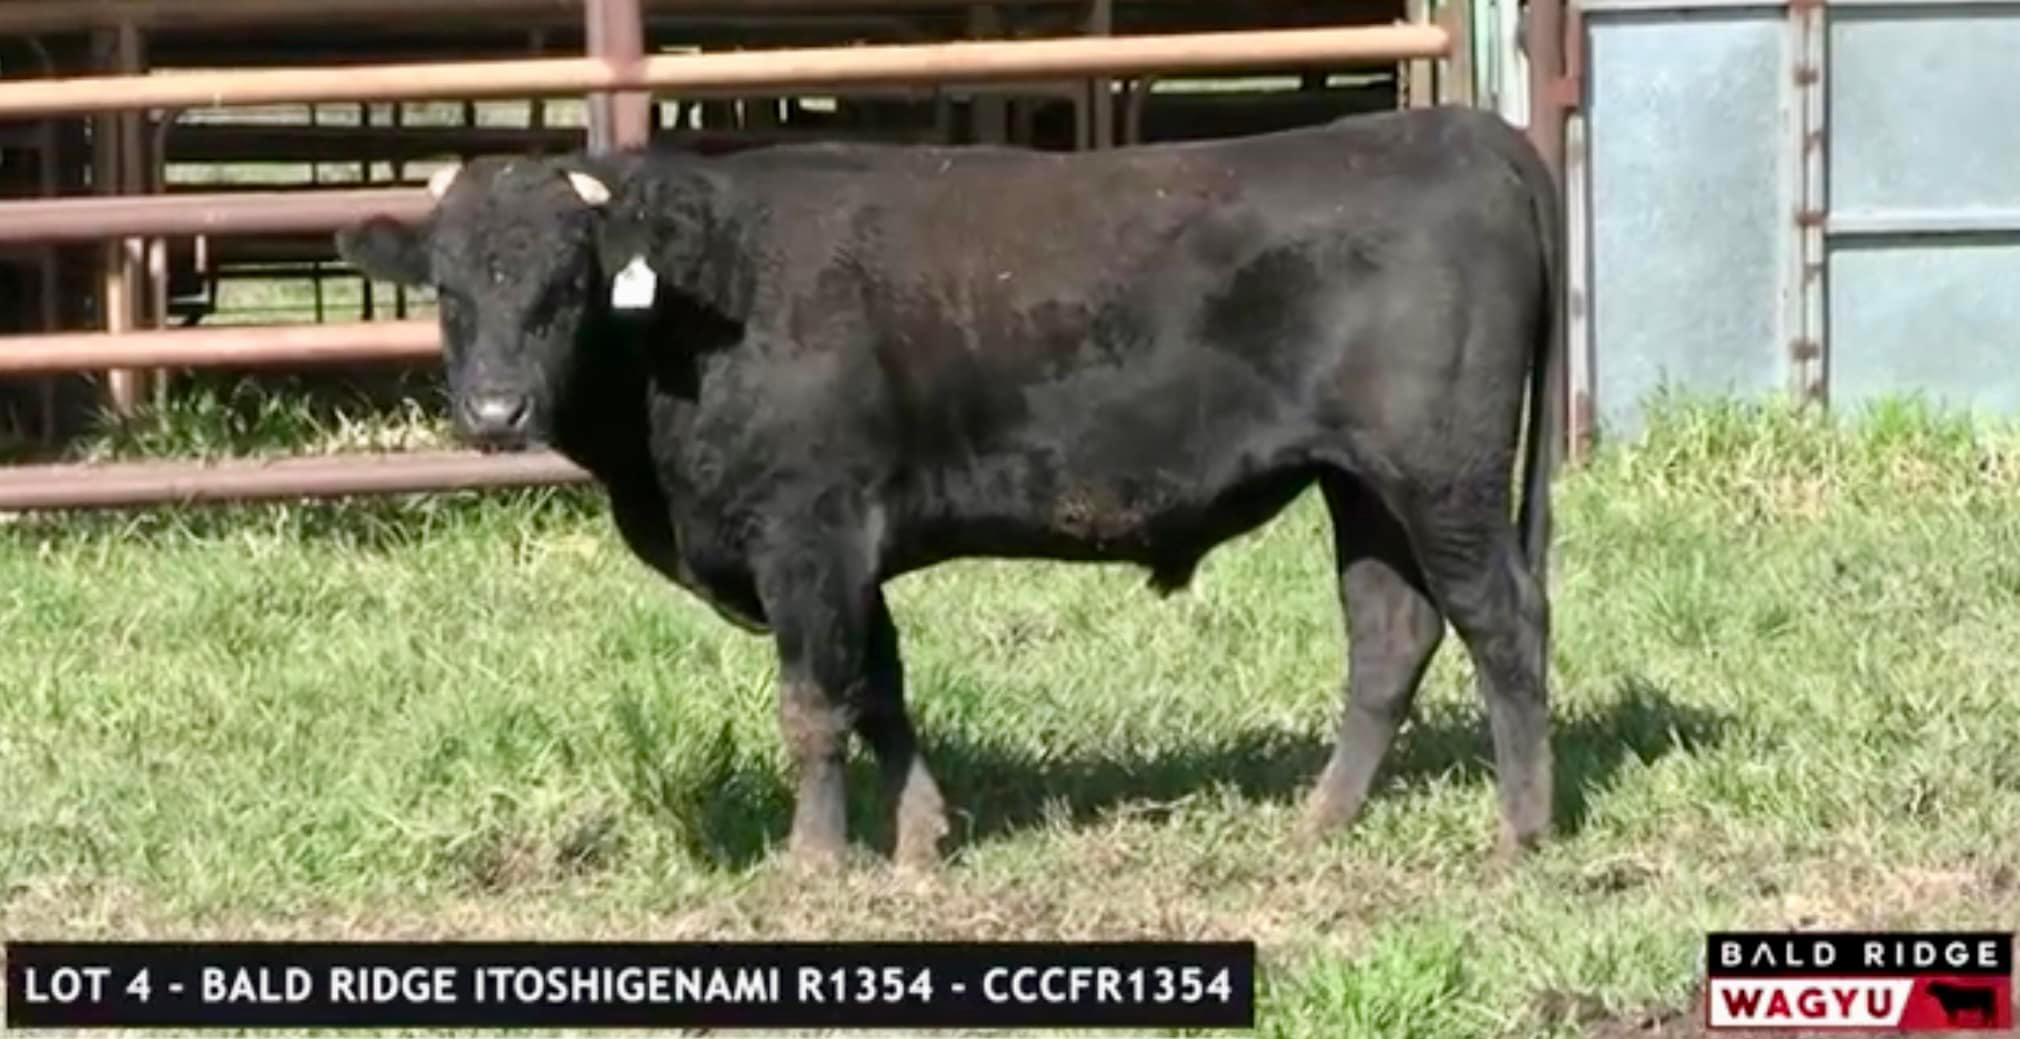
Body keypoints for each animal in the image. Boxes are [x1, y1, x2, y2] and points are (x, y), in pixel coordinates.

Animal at [336, 105, 1564, 870]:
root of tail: (1460, 127)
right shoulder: (848, 554)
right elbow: (881, 688)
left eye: (568, 282)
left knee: (1502, 621)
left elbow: (814, 705)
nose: (495, 412)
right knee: (1390, 632)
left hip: (1441, 477)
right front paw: (921, 836)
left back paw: (1519, 832)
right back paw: (1321, 820)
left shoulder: (806, 536)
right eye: (447, 289)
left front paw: (814, 862)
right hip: (1360, 486)